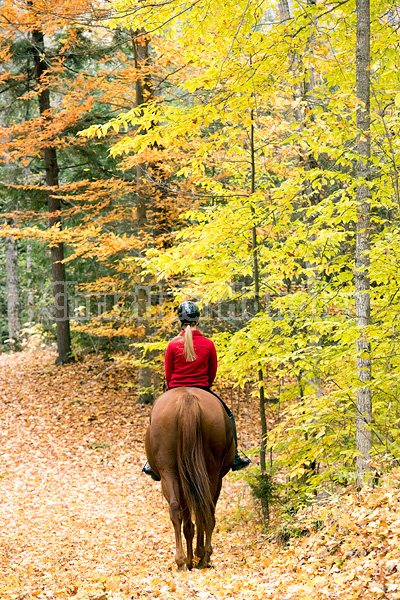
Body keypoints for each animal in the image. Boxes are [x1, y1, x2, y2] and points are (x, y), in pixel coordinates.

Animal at [145, 386, 236, 568]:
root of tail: (187, 399)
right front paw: (193, 557)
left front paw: (190, 559)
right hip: (210, 473)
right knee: (205, 509)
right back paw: (202, 557)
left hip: (170, 472)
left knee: (178, 509)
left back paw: (183, 561)